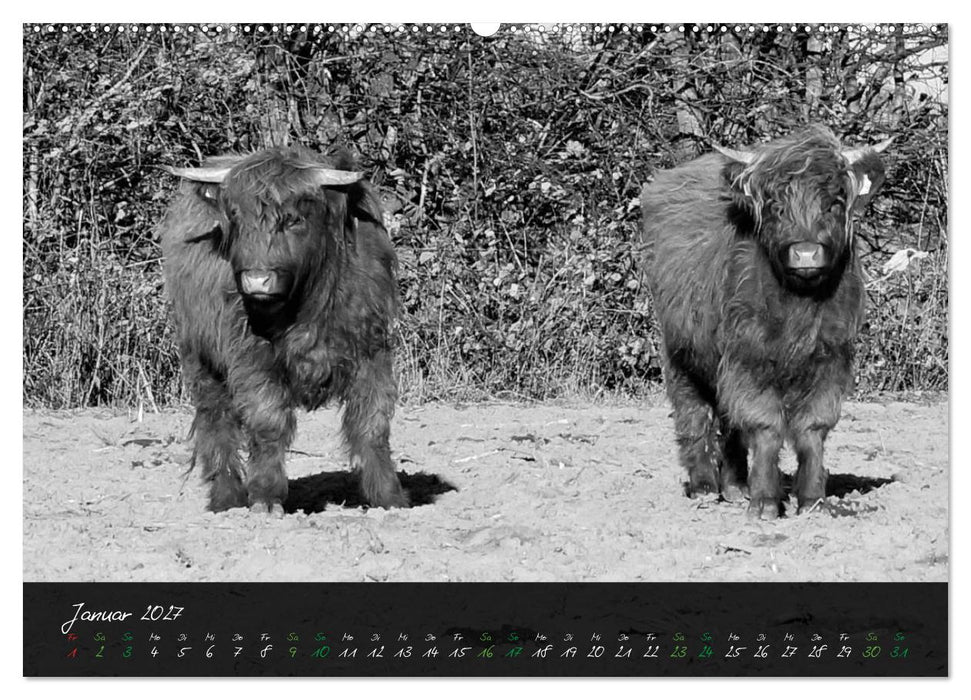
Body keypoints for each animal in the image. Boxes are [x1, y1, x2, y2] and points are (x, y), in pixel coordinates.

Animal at [160, 145, 409, 514]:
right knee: (216, 421)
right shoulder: (252, 358)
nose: (257, 280)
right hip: (200, 359)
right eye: (235, 218)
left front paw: (390, 497)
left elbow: (372, 422)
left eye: (294, 219)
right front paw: (266, 497)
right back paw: (226, 499)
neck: (307, 305)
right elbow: (268, 422)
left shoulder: (371, 350)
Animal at [640, 125, 892, 520]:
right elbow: (765, 426)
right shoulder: (749, 358)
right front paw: (765, 503)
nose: (806, 253)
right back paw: (704, 486)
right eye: (776, 206)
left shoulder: (831, 357)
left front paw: (812, 500)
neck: (798, 306)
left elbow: (813, 428)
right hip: (681, 351)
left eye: (834, 203)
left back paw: (734, 486)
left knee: (728, 420)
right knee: (694, 413)